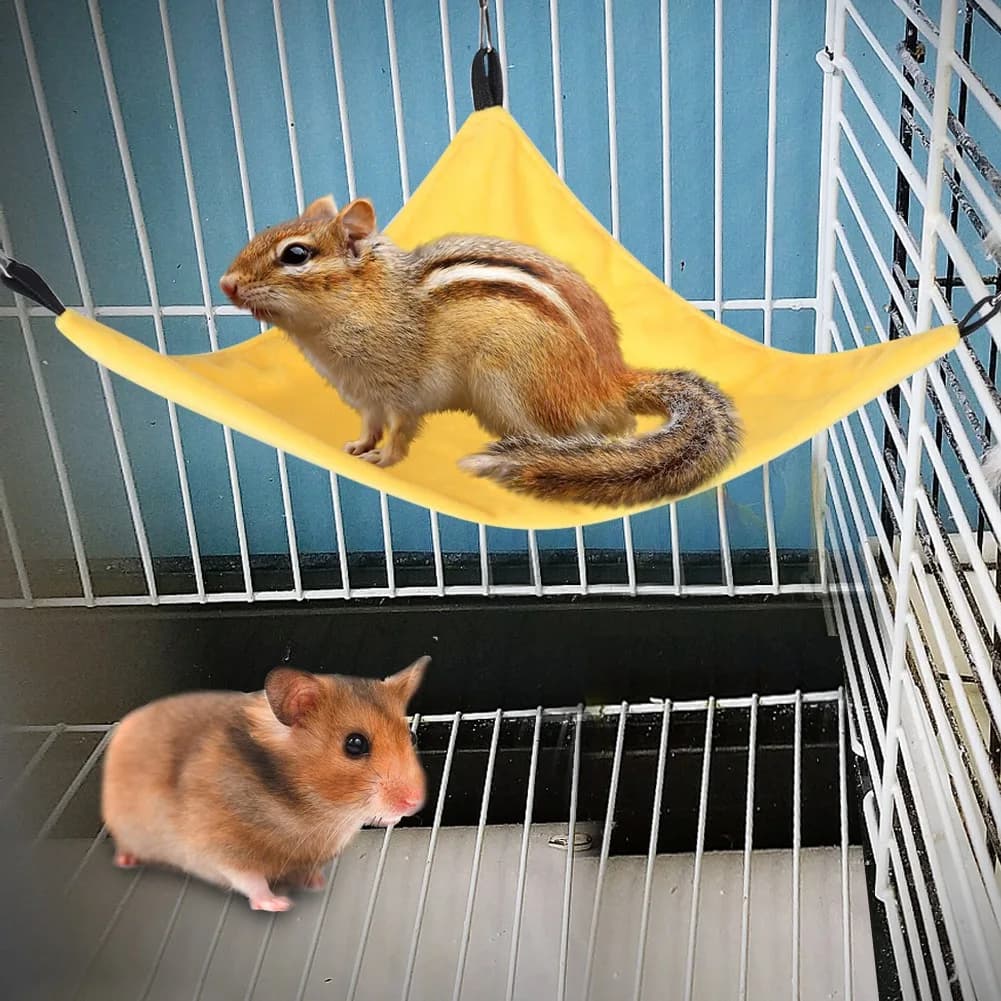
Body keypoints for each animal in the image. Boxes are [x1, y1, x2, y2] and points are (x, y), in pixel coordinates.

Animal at [100, 656, 428, 911]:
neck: (317, 813)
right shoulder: (218, 846)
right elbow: (249, 879)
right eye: (355, 744)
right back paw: (126, 860)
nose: (414, 802)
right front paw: (279, 904)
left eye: (411, 736)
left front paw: (316, 883)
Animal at [218, 196, 742, 507]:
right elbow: (369, 425)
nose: (226, 283)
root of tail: (610, 379)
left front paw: (384, 461)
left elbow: (400, 430)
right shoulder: (366, 398)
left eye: (296, 254)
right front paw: (358, 447)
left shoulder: (402, 391)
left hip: (510, 386)